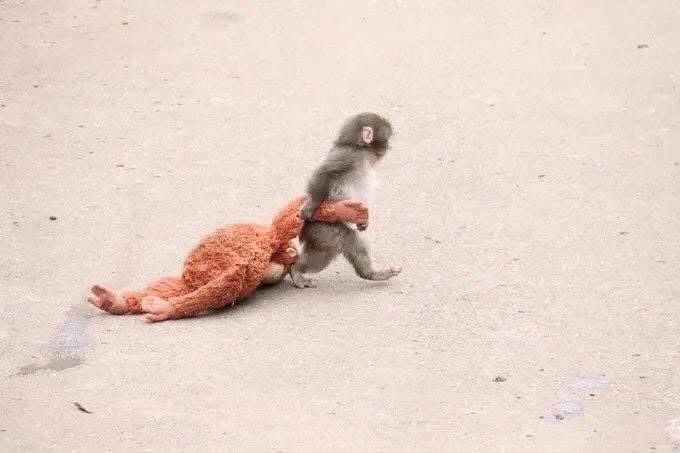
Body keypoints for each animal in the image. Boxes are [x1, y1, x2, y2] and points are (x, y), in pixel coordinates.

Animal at [289, 112, 402, 288]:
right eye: (387, 139)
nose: (389, 147)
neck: (360, 149)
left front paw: (363, 223)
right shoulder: (348, 155)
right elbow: (325, 172)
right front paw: (309, 205)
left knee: (329, 252)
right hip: (323, 227)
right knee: (345, 241)